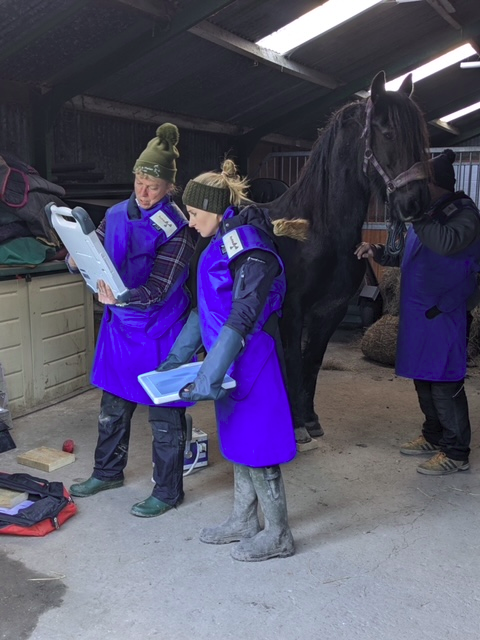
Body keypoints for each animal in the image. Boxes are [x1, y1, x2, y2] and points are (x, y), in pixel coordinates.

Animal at [266, 69, 432, 440]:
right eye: (388, 132)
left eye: (419, 136)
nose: (416, 203)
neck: (317, 231)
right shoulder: (292, 309)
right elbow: (293, 360)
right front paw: (296, 426)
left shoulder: (332, 310)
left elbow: (312, 361)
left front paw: (310, 419)